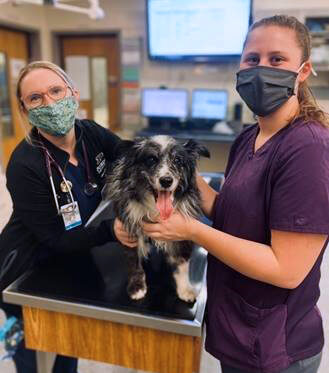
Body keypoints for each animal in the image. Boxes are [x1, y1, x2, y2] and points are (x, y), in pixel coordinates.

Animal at [106, 136, 209, 302]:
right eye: (151, 159)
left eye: (178, 160)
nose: (166, 180)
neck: (155, 211)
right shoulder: (129, 233)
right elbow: (134, 263)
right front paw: (137, 287)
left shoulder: (182, 238)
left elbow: (182, 265)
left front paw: (185, 290)